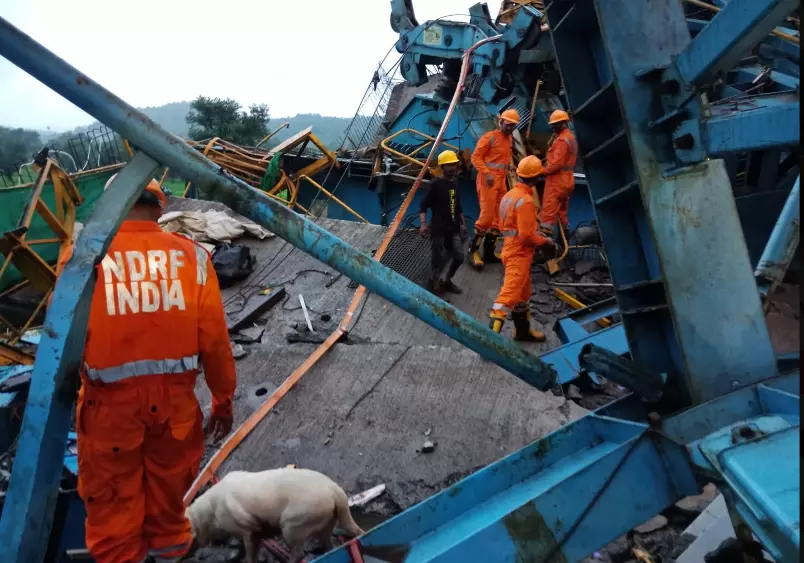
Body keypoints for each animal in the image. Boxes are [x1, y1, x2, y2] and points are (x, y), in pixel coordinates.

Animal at [185, 468, 364, 563]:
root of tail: (334, 490)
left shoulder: (247, 532)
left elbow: (250, 552)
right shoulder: (254, 533)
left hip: (291, 524)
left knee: (298, 553)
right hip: (326, 522)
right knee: (330, 543)